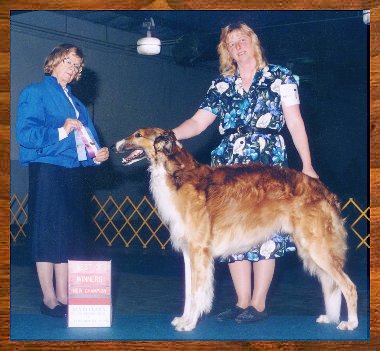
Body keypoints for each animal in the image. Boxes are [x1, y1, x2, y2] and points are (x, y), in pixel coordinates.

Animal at [111, 128, 358, 332]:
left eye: (137, 135)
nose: (114, 145)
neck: (177, 175)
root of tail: (323, 190)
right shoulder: (189, 252)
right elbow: (189, 292)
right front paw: (183, 319)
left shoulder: (199, 250)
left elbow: (198, 292)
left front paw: (190, 323)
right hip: (311, 248)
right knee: (333, 285)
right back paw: (331, 317)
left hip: (317, 247)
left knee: (349, 286)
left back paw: (351, 323)